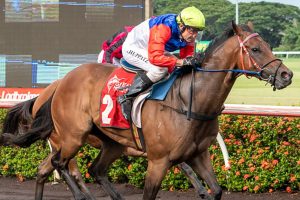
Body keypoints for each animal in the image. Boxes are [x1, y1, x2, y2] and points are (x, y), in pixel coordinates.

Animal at [0, 21, 292, 199]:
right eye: (255, 48)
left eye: (268, 45)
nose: (287, 75)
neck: (190, 101)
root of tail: (56, 86)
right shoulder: (158, 160)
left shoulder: (199, 154)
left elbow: (216, 189)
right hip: (72, 137)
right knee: (62, 165)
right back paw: (82, 194)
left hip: (110, 143)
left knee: (72, 169)